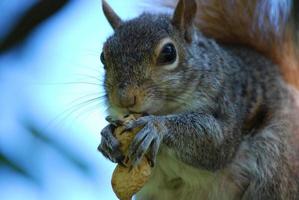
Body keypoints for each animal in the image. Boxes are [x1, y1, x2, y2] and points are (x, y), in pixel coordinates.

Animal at [99, 0, 299, 200]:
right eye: (103, 57)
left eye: (169, 53)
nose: (124, 99)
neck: (165, 109)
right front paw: (107, 135)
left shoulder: (228, 103)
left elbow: (217, 141)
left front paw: (156, 126)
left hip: (274, 165)